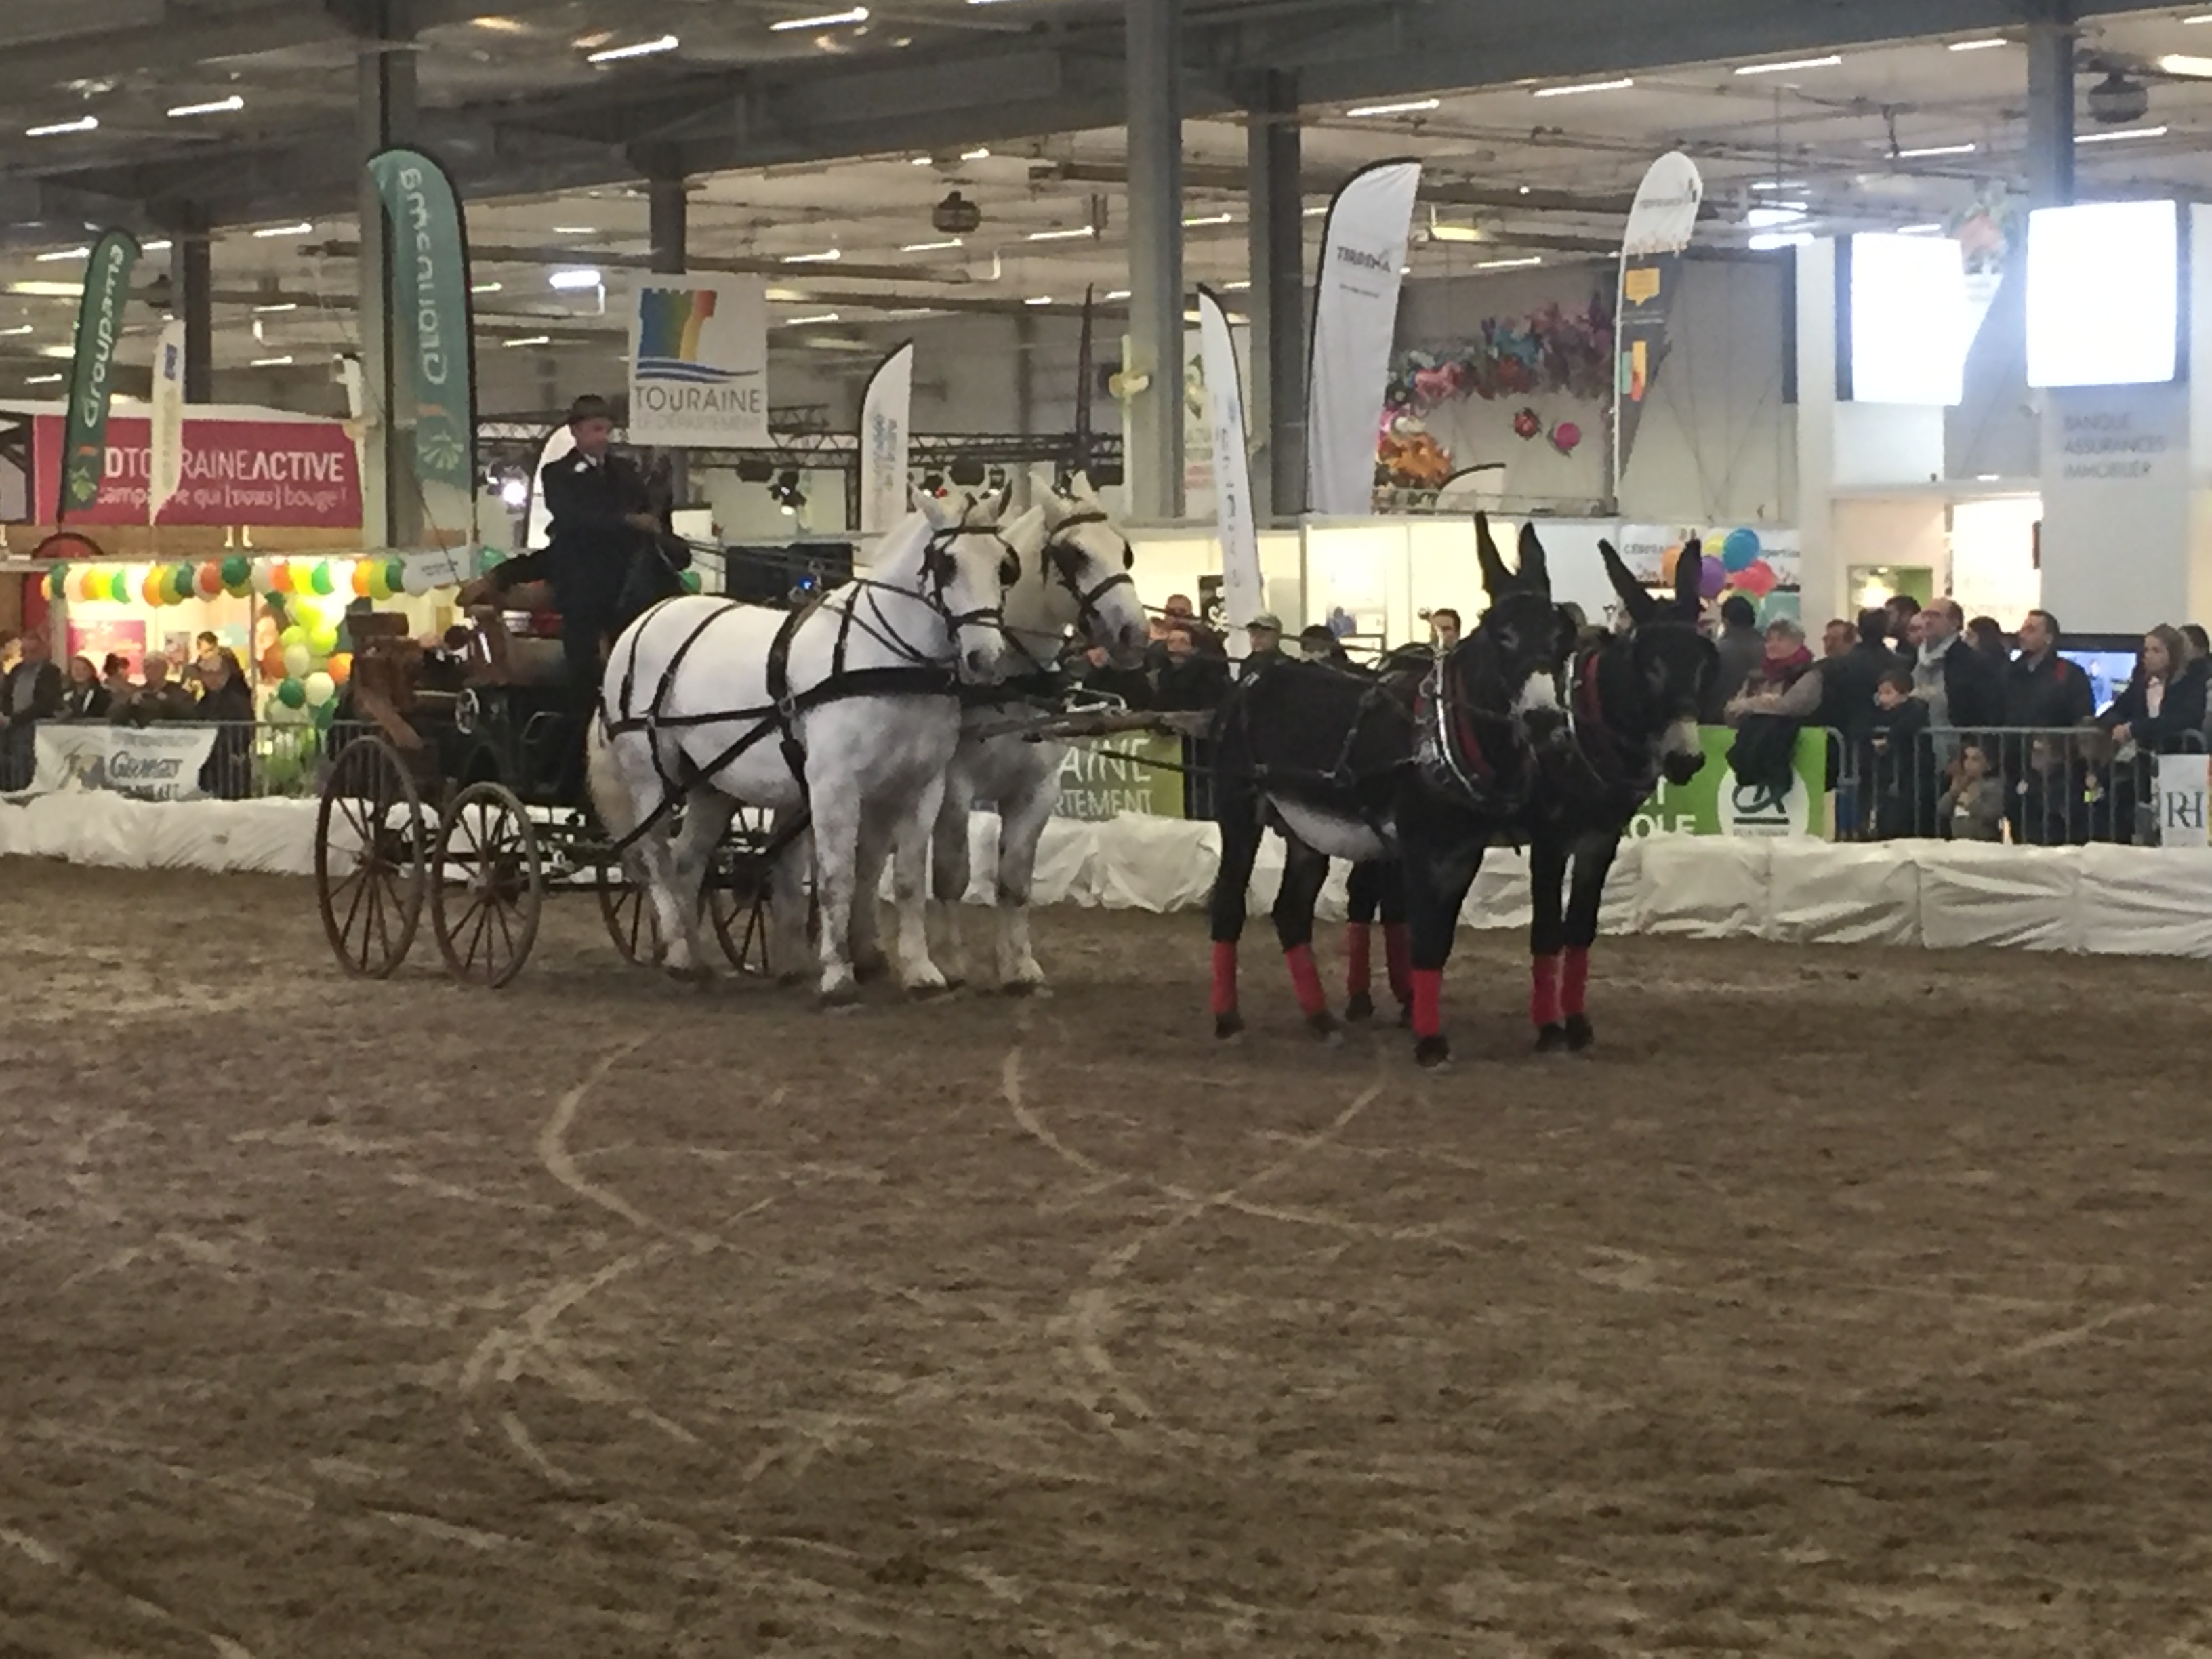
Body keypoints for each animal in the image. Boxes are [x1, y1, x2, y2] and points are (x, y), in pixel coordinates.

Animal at [579, 493, 1012, 1008]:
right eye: (947, 564)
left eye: (1003, 565)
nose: (986, 659)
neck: (884, 660)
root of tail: (645, 620)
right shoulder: (833, 787)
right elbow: (835, 879)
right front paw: (837, 977)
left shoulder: (919, 787)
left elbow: (906, 880)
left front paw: (920, 972)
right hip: (651, 776)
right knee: (657, 860)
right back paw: (680, 956)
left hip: (710, 784)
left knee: (687, 862)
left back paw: (695, 959)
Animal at [924, 480, 1150, 1000]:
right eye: (1075, 555)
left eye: (1124, 549)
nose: (1135, 632)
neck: (1010, 678)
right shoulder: (955, 789)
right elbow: (951, 875)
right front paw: (952, 964)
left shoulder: (1037, 790)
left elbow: (1014, 880)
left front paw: (1019, 968)